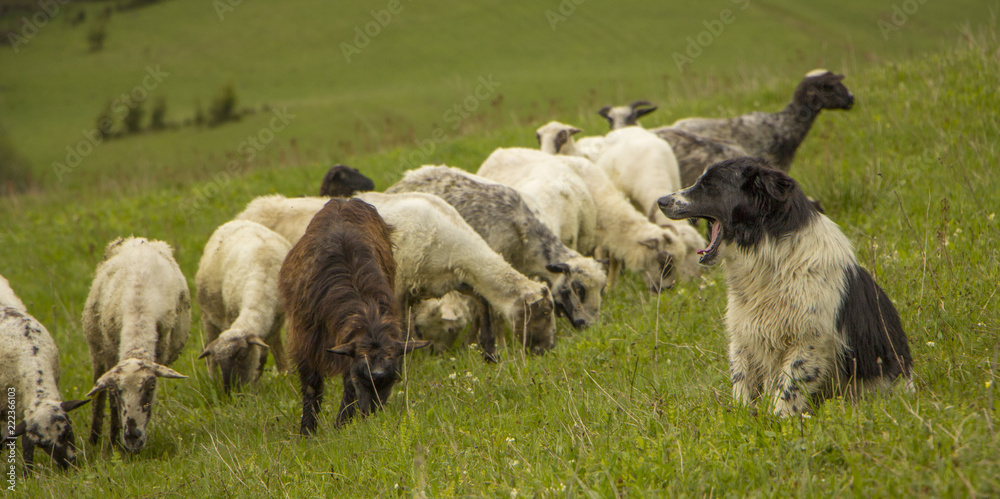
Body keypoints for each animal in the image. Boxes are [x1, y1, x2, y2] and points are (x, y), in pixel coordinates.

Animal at [83, 237, 191, 454]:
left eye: (151, 386)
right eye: (118, 391)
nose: (132, 437)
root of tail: (140, 240)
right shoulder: (110, 354)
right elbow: (112, 404)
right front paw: (114, 445)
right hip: (96, 349)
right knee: (97, 395)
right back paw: (94, 440)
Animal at [193, 221, 292, 392]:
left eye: (242, 355)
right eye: (221, 362)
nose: (230, 391)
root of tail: (235, 222)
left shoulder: (274, 325)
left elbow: (262, 357)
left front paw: (255, 385)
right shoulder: (230, 317)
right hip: (207, 314)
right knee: (208, 350)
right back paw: (213, 381)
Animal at [656, 158, 916, 416]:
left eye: (709, 185)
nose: (661, 201)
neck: (772, 259)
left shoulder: (809, 339)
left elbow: (789, 387)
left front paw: (779, 419)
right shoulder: (743, 335)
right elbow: (742, 382)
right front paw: (742, 416)